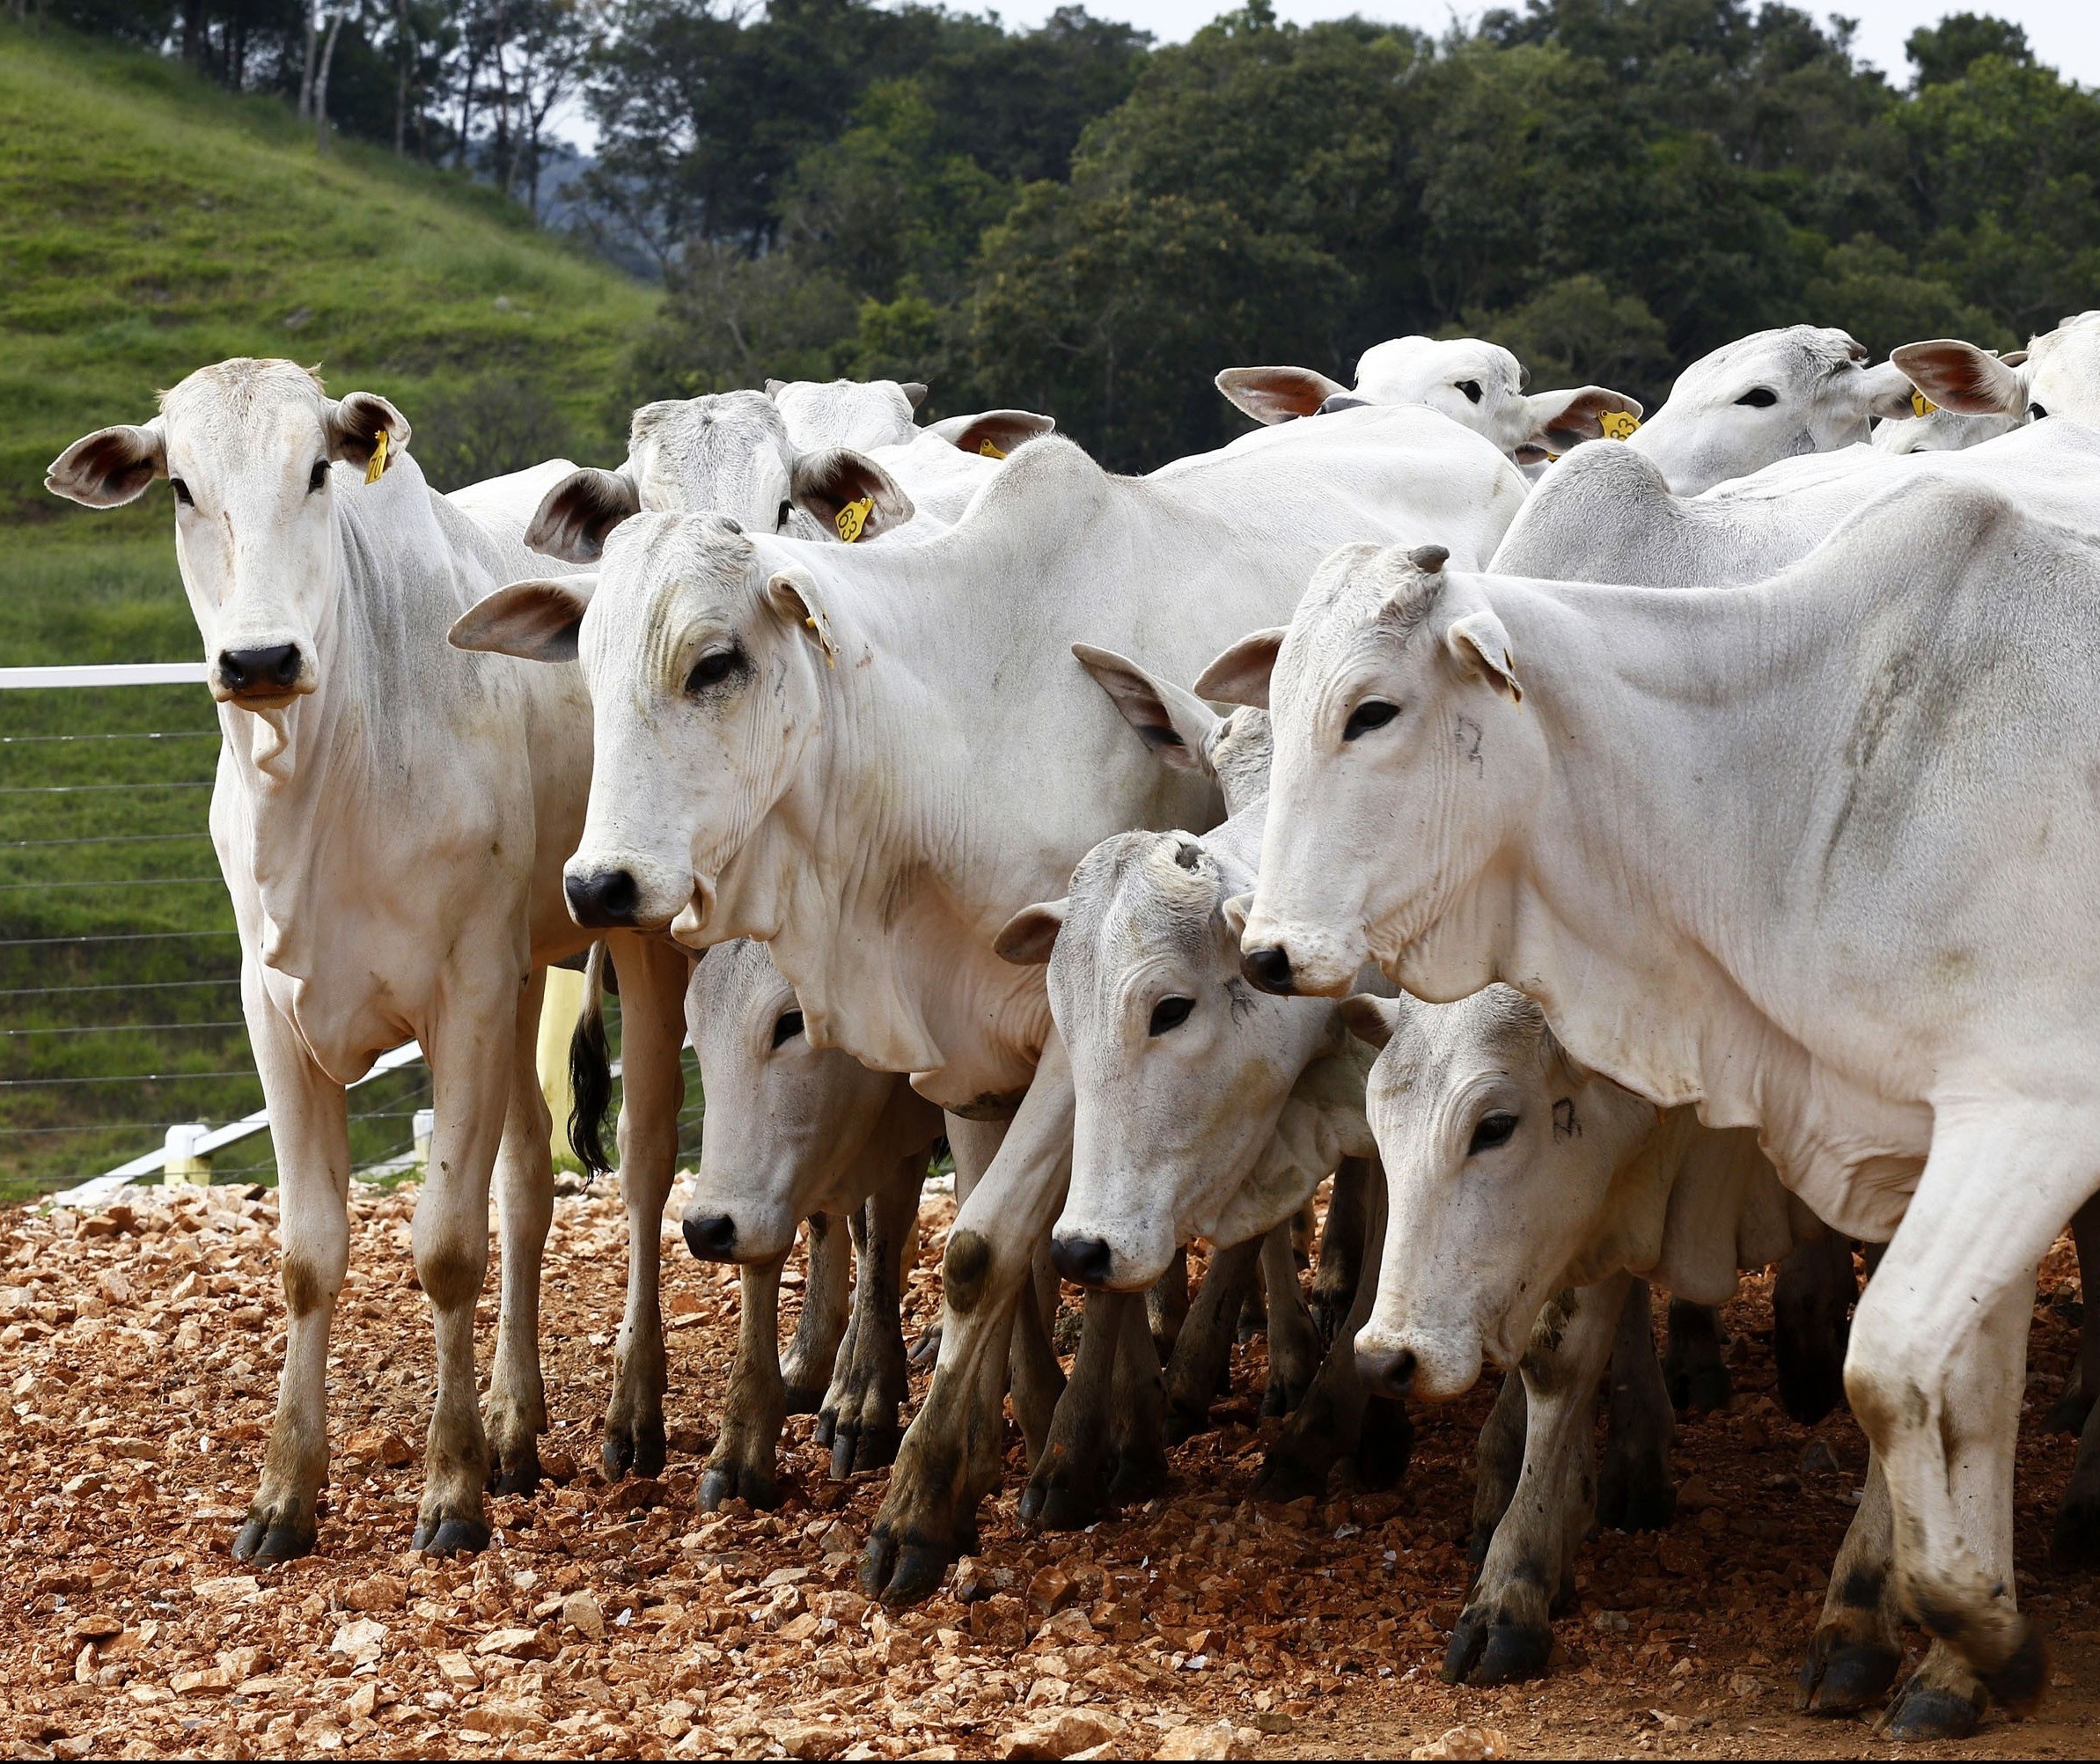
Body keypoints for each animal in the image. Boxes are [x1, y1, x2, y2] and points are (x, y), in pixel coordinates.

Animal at [45, 358, 688, 1554]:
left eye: (316, 470)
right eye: (180, 487)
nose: (257, 659)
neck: (323, 778)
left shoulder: (462, 996)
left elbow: (444, 1248)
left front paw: (449, 1491)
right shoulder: (276, 1009)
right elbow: (311, 1255)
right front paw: (285, 1495)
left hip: (638, 940)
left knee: (645, 1161)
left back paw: (632, 1415)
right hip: (525, 969)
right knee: (527, 1183)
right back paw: (516, 1428)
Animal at [455, 407, 1529, 1604]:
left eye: (715, 663)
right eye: (588, 676)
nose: (600, 886)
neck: (957, 723)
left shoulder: (1088, 1043)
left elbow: (1004, 1251)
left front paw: (965, 1492)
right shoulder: (965, 1052)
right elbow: (998, 1253)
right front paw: (1007, 1434)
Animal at [1217, 489, 2100, 1730]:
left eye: (1371, 710)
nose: (1266, 952)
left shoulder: (2029, 1117)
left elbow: (1889, 1371)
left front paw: (1963, 1638)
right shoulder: (1922, 1138)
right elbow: (1956, 1388)